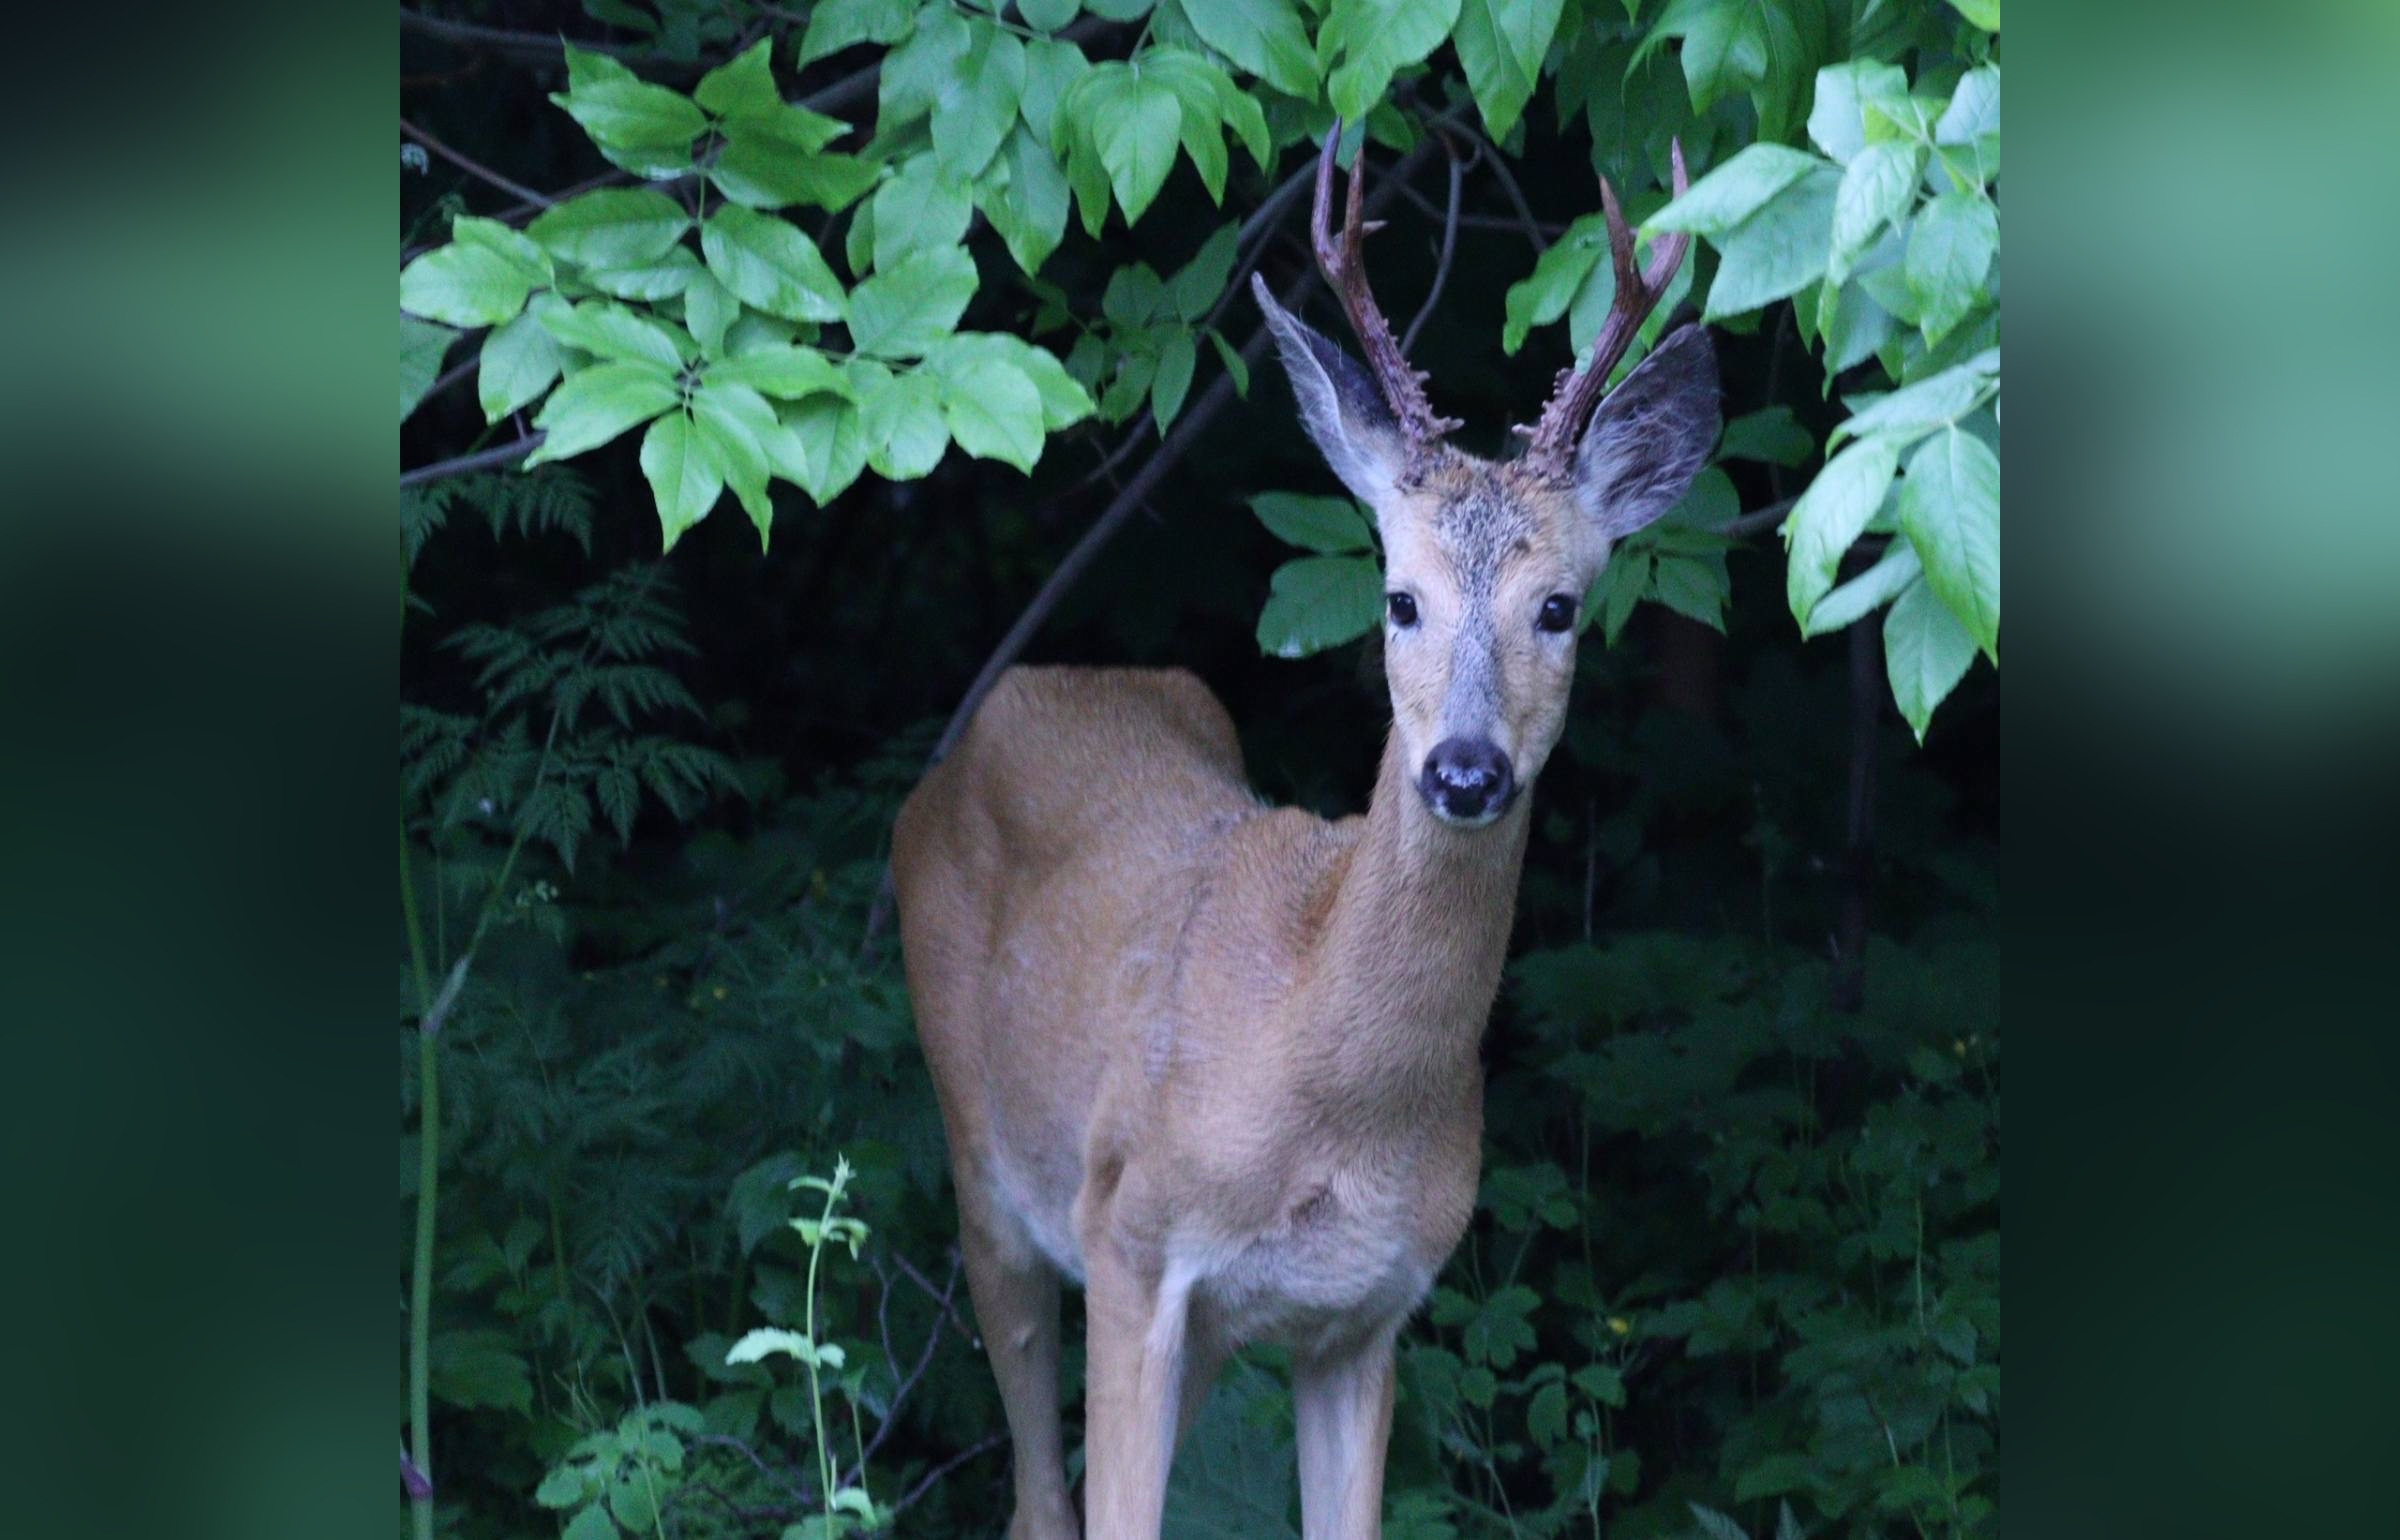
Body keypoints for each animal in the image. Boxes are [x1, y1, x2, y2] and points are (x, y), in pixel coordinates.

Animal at [892, 128, 1718, 1535]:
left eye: (1560, 606)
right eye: (1399, 596)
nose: (1463, 768)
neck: (1321, 1076)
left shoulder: (1367, 1313)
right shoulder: (1129, 1243)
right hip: (982, 1161)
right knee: (1037, 1490)